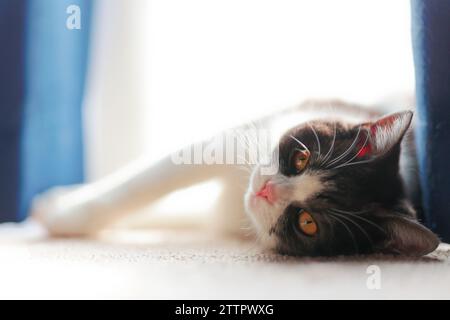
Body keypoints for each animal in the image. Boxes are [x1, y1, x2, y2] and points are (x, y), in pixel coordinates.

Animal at [31, 100, 440, 258]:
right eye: (301, 157)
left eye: (307, 222)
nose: (267, 189)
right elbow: (155, 178)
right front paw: (64, 209)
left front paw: (59, 211)